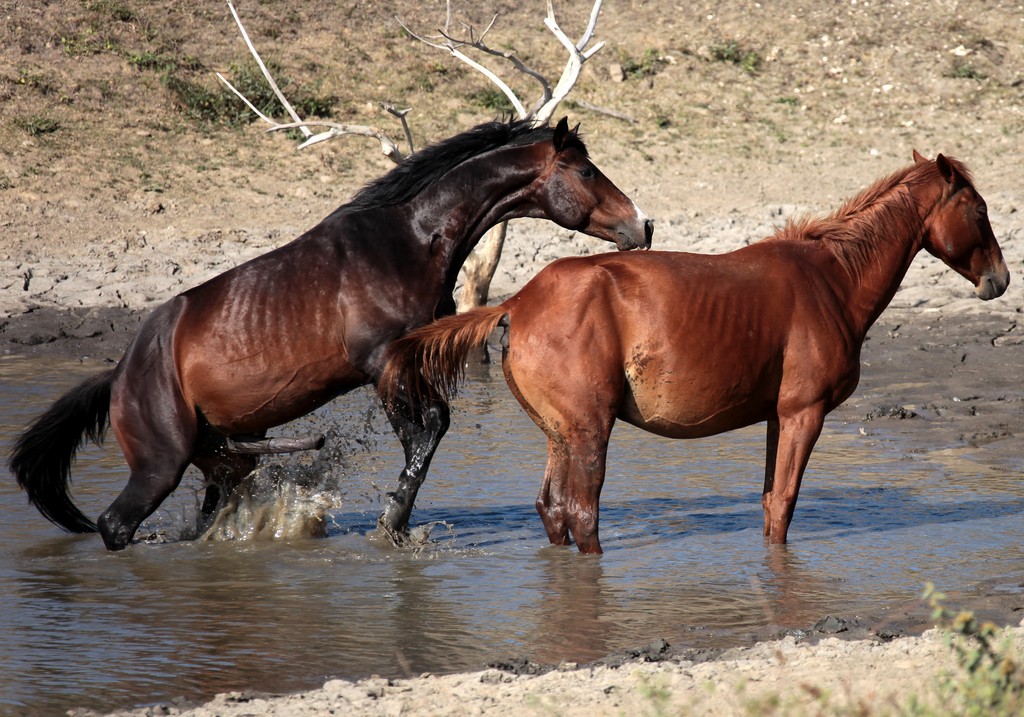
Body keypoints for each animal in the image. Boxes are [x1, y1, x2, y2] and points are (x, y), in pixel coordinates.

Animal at [8, 117, 651, 549]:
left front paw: (397, 523)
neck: (408, 241)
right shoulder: (382, 363)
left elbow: (430, 431)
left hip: (222, 459)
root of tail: (120, 374)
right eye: (586, 170)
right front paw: (392, 523)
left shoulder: (406, 361)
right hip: (158, 464)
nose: (641, 225)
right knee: (115, 525)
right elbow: (426, 432)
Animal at [382, 151, 1007, 553]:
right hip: (589, 432)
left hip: (561, 435)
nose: (999, 280)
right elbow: (784, 505)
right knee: (582, 516)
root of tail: (520, 300)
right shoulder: (803, 414)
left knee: (554, 512)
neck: (829, 278)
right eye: (979, 211)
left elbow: (769, 506)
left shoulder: (778, 418)